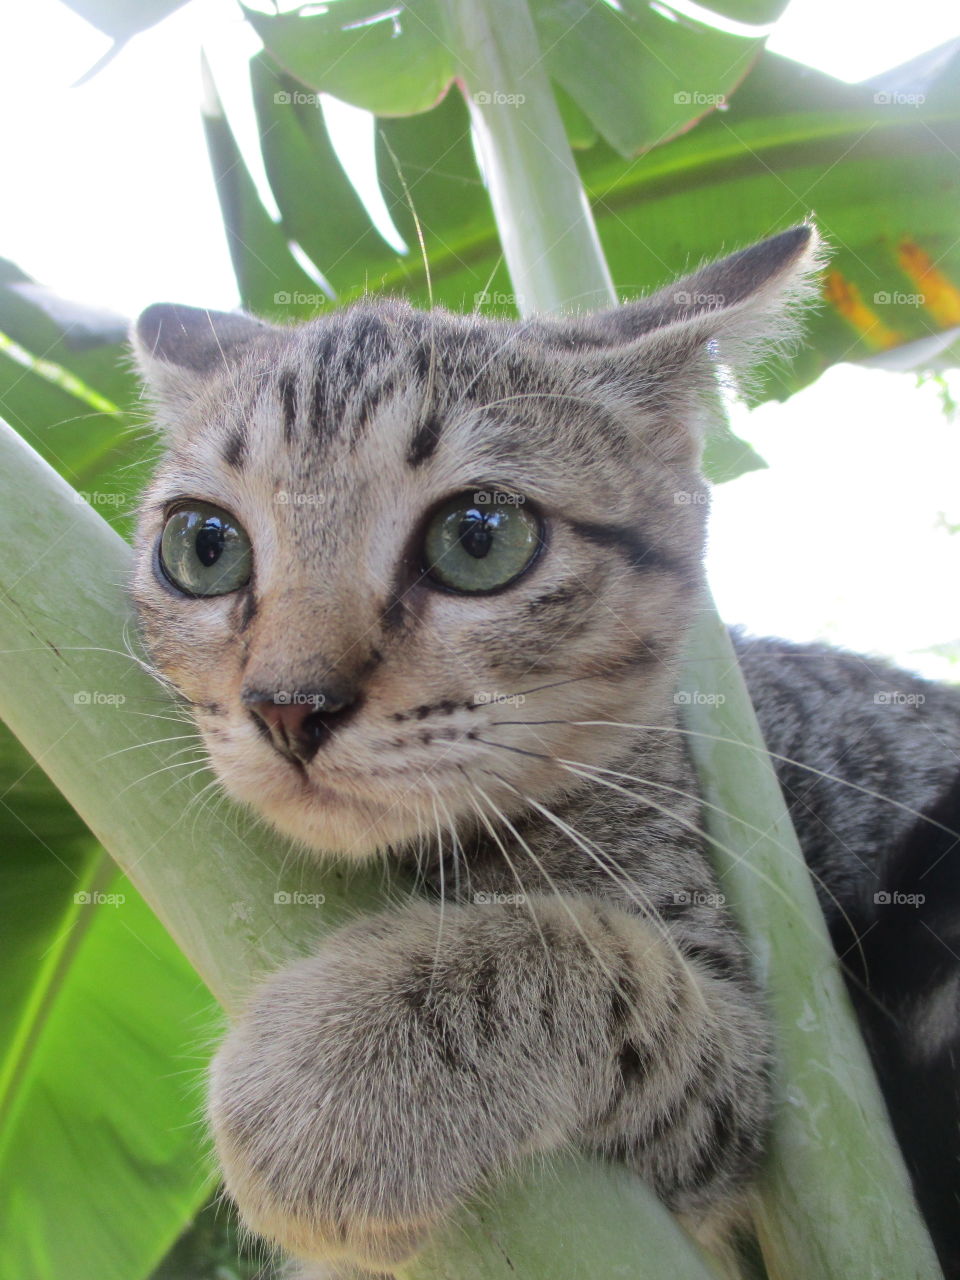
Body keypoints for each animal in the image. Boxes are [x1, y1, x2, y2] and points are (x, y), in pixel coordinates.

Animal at [131, 225, 960, 1274]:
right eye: (204, 547)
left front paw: (333, 1072)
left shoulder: (753, 1077)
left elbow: (591, 960)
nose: (288, 706)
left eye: (479, 538)